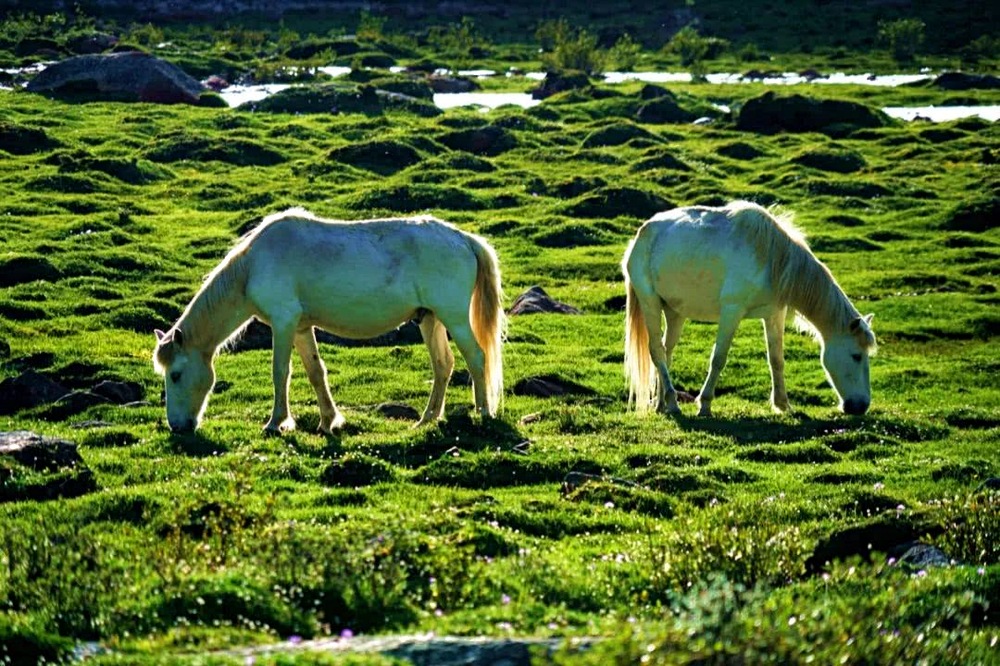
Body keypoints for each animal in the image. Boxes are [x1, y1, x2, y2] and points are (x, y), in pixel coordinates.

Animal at [151, 209, 504, 436]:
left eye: (176, 375)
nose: (177, 427)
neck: (253, 265)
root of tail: (464, 239)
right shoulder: (301, 327)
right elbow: (315, 372)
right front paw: (328, 421)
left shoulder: (283, 321)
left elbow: (281, 372)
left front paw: (276, 423)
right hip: (430, 320)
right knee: (443, 365)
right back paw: (427, 420)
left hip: (453, 317)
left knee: (476, 357)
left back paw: (484, 413)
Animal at [624, 200, 876, 416]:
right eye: (856, 356)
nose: (861, 406)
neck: (772, 258)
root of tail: (641, 235)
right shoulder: (731, 311)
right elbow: (718, 358)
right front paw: (704, 405)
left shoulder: (774, 314)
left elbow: (776, 359)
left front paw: (783, 404)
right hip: (650, 303)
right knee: (657, 351)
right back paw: (673, 403)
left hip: (675, 312)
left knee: (667, 352)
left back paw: (662, 405)